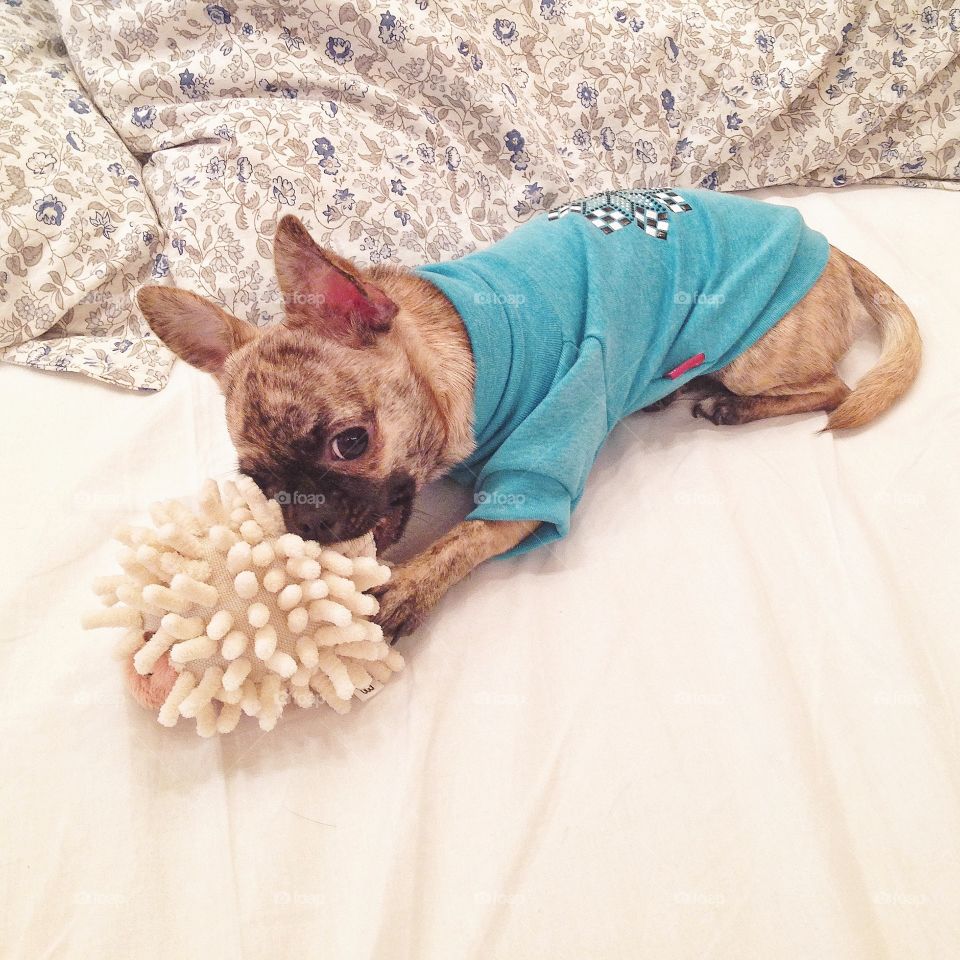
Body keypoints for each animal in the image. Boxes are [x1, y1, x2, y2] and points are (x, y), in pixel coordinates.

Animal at [137, 188, 924, 636]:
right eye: (259, 485)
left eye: (350, 443)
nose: (306, 521)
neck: (462, 351)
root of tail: (826, 248)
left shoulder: (530, 488)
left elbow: (459, 540)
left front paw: (399, 593)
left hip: (756, 351)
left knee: (833, 390)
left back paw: (728, 402)